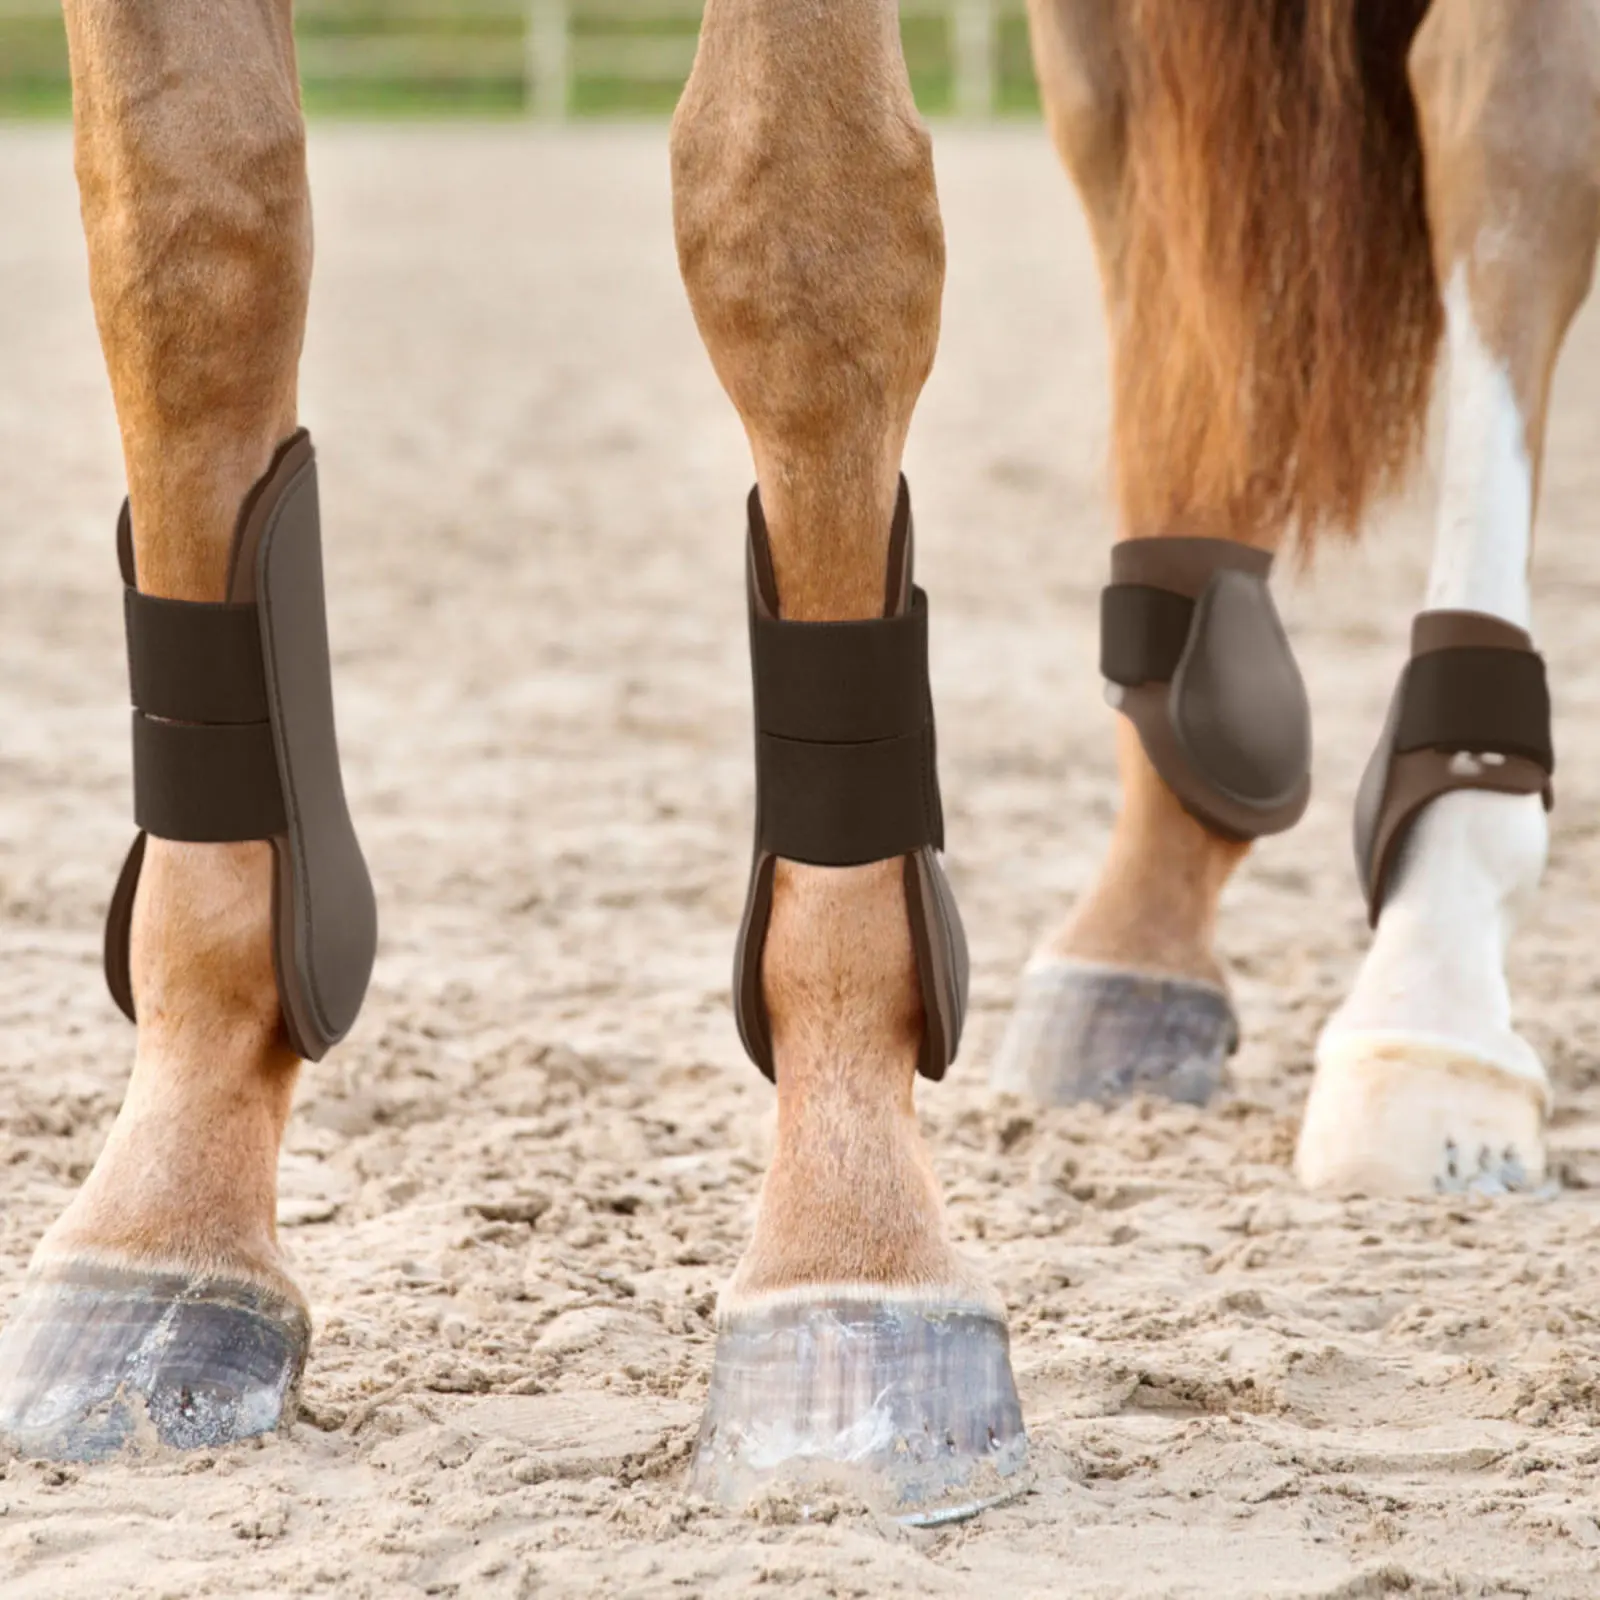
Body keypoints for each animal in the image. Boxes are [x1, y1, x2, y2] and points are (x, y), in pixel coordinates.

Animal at [0, 0, 1595, 1526]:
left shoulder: (803, 208)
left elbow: (795, 218)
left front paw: (851, 1254)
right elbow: (187, 224)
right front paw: (161, 1223)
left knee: (1500, 124)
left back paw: (1434, 981)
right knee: (1148, 158)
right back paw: (1144, 935)